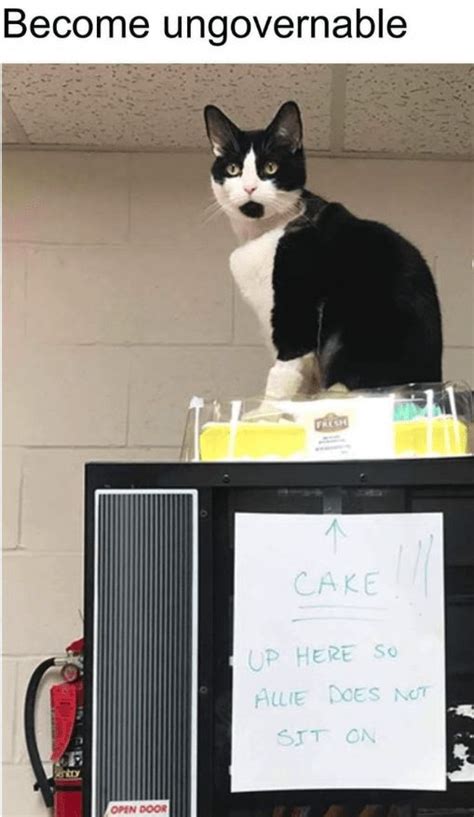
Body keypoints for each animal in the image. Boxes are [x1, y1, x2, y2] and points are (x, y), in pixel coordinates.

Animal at [205, 100, 444, 400]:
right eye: (233, 169)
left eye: (270, 167)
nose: (249, 188)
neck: (261, 233)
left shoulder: (294, 311)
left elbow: (283, 373)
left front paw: (267, 409)